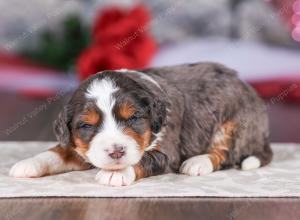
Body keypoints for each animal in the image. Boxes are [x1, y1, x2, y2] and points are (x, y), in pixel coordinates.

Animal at [9, 62, 272, 186]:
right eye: (87, 126)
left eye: (133, 118)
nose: (116, 152)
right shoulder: (80, 146)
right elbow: (57, 152)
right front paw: (27, 164)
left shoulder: (167, 150)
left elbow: (143, 159)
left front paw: (115, 174)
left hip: (234, 122)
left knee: (226, 153)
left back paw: (197, 162)